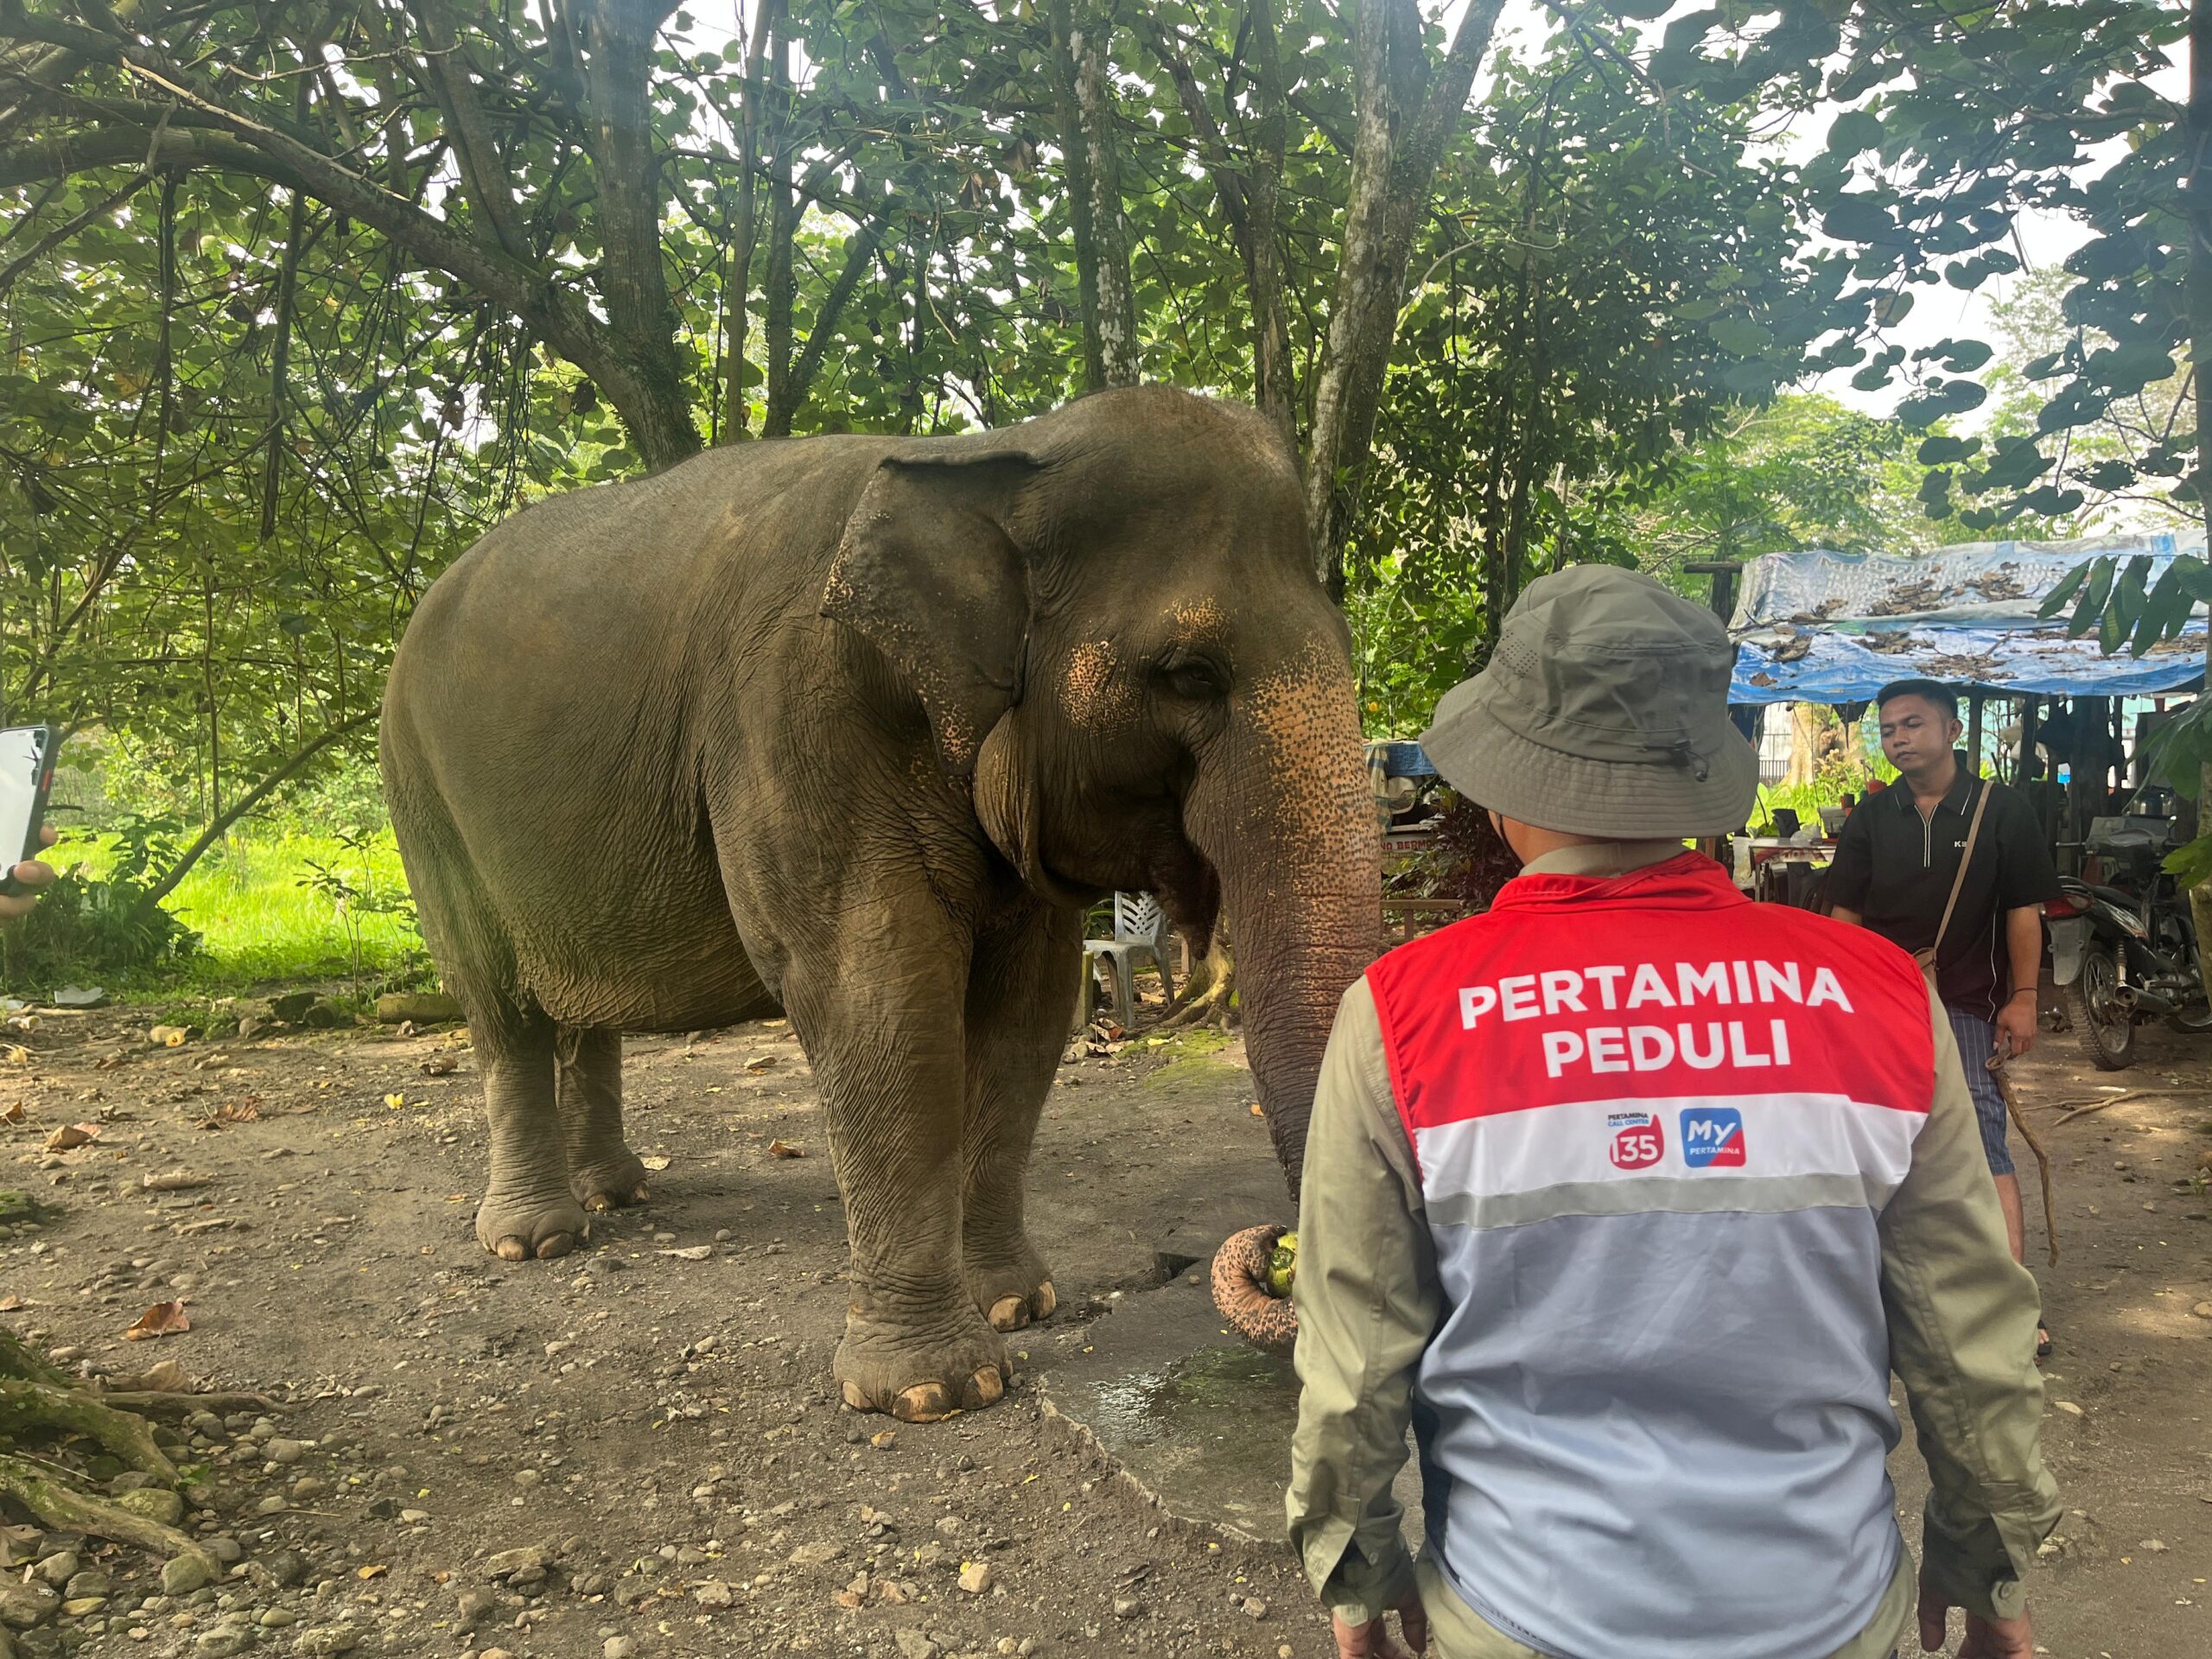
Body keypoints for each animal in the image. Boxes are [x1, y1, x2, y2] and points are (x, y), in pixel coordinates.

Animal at [382, 382, 1380, 1424]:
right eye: (1190, 674)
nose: (1273, 1249)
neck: (994, 456)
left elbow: (1027, 1010)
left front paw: (1017, 1304)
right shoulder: (790, 714)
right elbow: (879, 989)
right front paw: (937, 1392)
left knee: (576, 1010)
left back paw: (616, 1195)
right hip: (421, 798)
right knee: (499, 1008)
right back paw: (535, 1238)